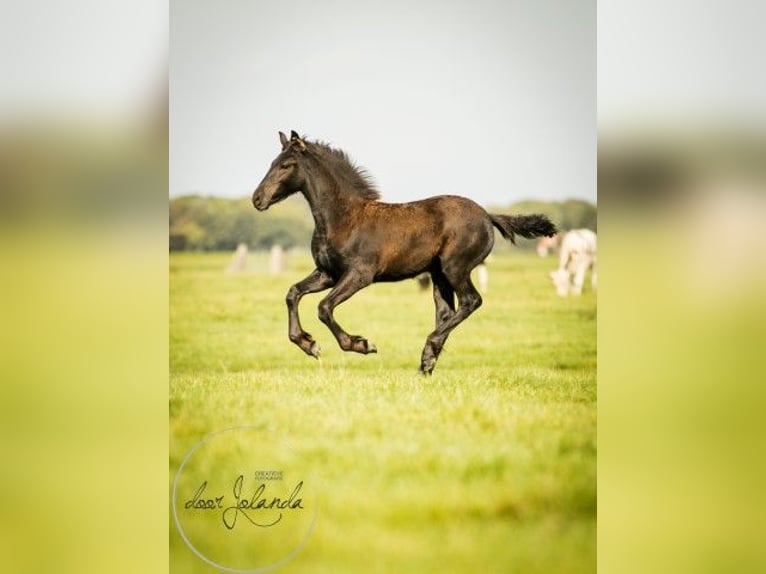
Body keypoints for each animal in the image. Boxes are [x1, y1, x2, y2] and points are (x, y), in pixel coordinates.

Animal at [254, 131, 560, 376]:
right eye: (272, 163)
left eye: (286, 165)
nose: (257, 199)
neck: (344, 218)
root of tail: (488, 215)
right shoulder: (328, 273)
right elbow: (293, 293)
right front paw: (308, 344)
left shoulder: (360, 274)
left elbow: (324, 308)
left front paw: (361, 344)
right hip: (439, 275)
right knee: (447, 312)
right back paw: (427, 362)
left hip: (455, 268)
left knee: (471, 301)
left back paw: (428, 351)